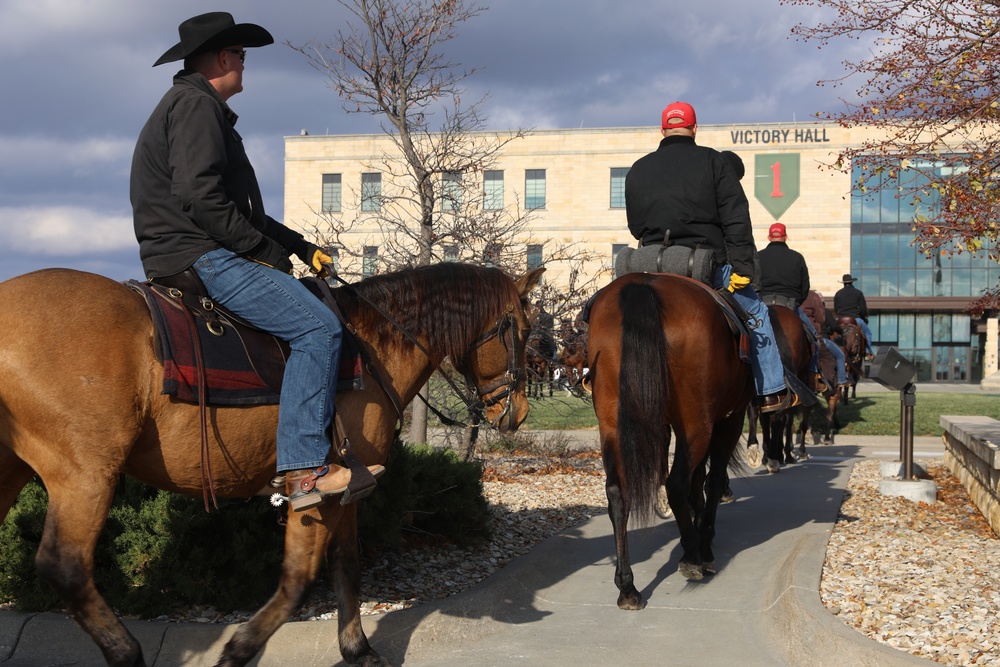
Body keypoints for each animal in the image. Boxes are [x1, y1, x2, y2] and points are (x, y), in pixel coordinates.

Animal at [0, 264, 544, 667]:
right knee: (65, 566)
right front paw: (238, 650)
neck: (372, 350)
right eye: (522, 329)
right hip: (86, 474)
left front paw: (357, 649)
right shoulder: (315, 494)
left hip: (15, 469)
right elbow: (299, 578)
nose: (518, 411)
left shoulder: (351, 489)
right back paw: (128, 653)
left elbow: (347, 566)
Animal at [584, 270, 752, 604]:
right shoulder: (730, 419)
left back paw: (627, 586)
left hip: (611, 423)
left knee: (617, 492)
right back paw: (692, 555)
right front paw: (705, 543)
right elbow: (711, 480)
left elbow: (699, 480)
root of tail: (642, 284)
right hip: (697, 422)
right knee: (677, 484)